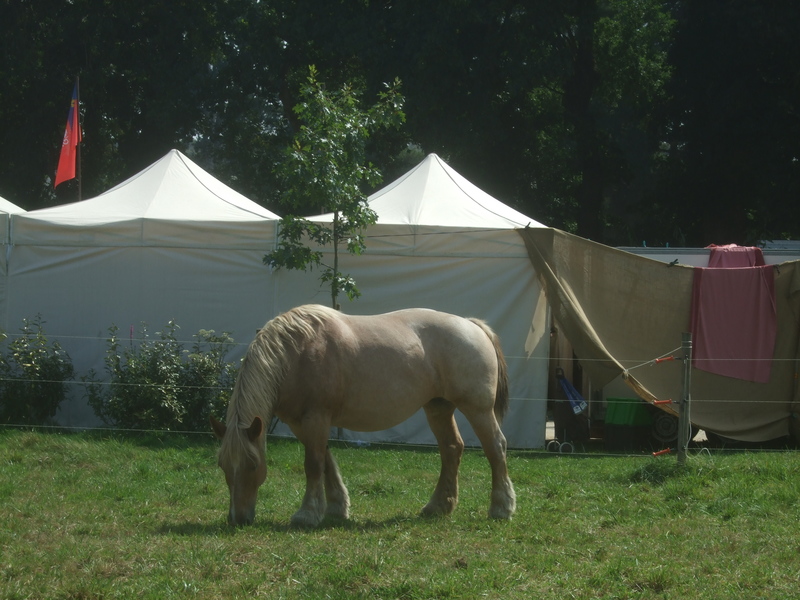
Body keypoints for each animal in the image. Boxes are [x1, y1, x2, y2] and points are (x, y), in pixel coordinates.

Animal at [209, 304, 516, 524]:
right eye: (223, 465)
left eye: (252, 465)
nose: (237, 519)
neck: (296, 353)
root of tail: (472, 325)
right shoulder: (302, 423)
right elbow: (325, 462)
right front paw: (336, 508)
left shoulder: (316, 418)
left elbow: (313, 464)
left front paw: (307, 514)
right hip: (438, 408)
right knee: (452, 449)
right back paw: (438, 506)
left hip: (477, 409)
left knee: (496, 448)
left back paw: (502, 507)